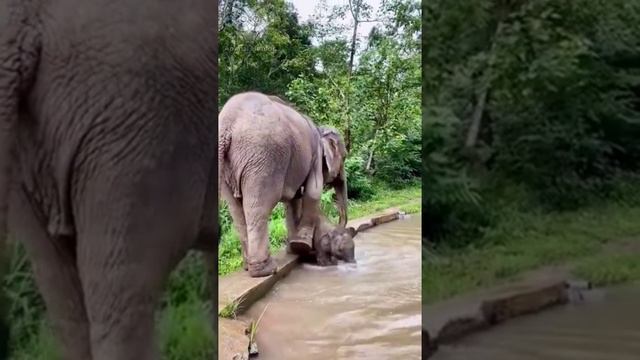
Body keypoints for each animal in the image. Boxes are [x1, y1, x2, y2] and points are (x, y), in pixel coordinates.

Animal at [220, 91, 350, 278]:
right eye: (345, 156)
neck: (320, 131)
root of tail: (227, 124)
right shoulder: (316, 156)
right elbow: (313, 192)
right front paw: (301, 246)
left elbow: (294, 199)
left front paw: (295, 249)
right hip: (263, 158)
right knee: (257, 208)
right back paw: (265, 270)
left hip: (228, 167)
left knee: (236, 209)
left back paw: (248, 266)